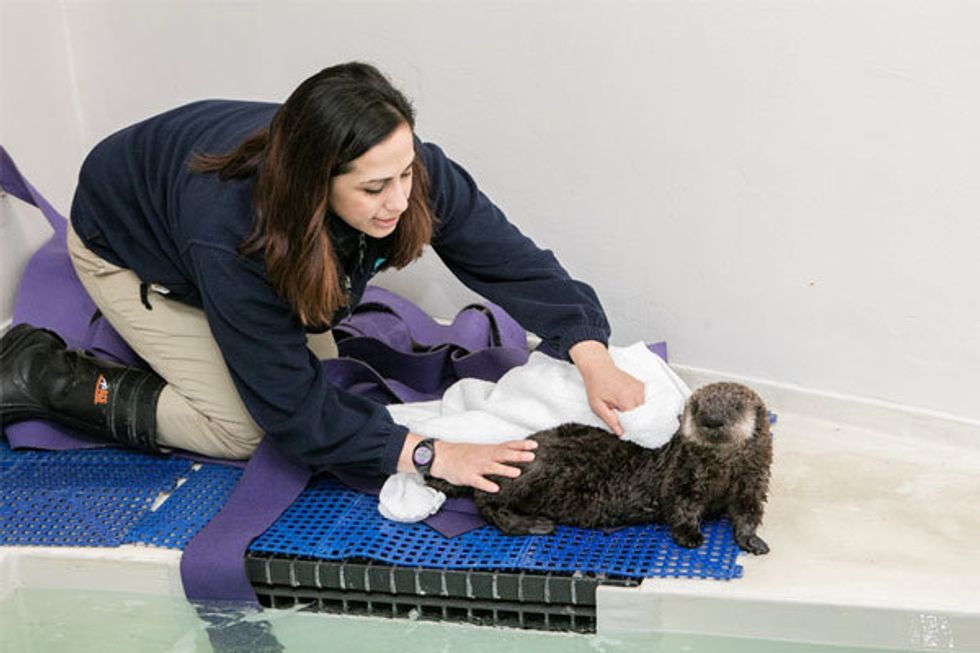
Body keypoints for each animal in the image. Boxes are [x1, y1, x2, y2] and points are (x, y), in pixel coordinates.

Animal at [428, 382, 773, 554]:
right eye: (697, 407)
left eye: (735, 407)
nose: (711, 420)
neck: (723, 469)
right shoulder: (683, 476)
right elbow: (680, 506)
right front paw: (690, 536)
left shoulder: (752, 482)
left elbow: (747, 512)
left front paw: (752, 541)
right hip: (530, 471)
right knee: (486, 501)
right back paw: (534, 524)